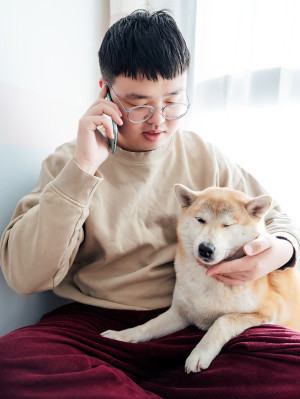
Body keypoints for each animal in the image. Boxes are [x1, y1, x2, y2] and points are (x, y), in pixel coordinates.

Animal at [101, 186, 300, 374]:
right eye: (200, 220)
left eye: (227, 225)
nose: (206, 248)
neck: (207, 281)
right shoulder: (180, 313)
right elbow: (147, 327)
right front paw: (123, 335)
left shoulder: (268, 311)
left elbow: (221, 322)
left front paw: (200, 353)